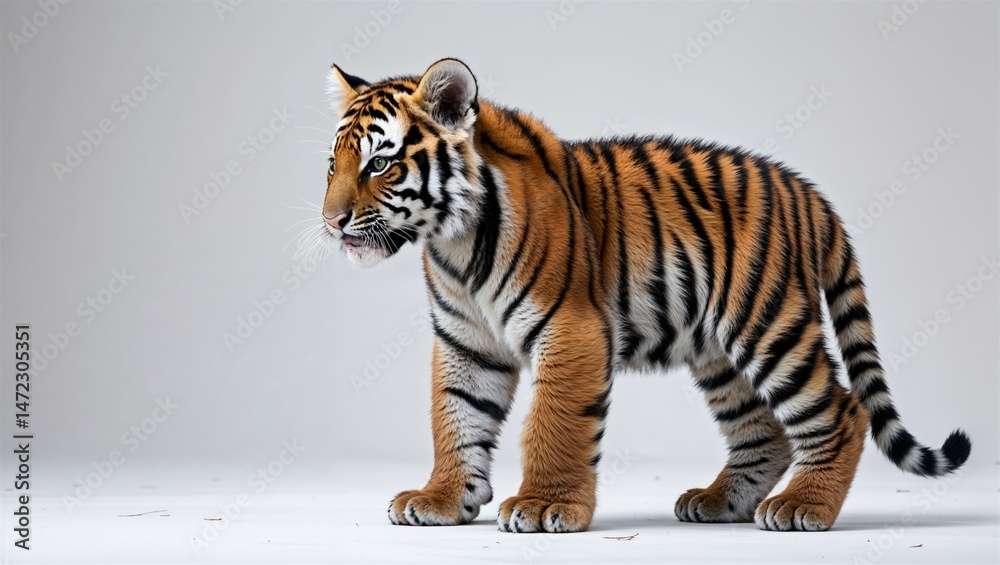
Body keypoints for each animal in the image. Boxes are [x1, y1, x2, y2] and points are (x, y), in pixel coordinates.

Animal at [316, 58, 971, 533]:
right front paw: (443, 498)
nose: (331, 221)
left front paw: (543, 505)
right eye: (333, 166)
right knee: (764, 430)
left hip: (769, 324)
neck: (453, 241)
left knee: (841, 408)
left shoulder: (570, 325)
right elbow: (455, 417)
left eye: (379, 164)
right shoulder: (466, 341)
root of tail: (808, 193)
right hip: (718, 351)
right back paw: (717, 501)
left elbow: (555, 421)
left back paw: (804, 506)